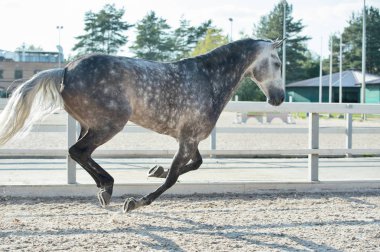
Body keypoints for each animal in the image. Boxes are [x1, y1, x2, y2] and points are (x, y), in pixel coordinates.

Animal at [0, 38, 284, 212]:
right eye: (278, 63)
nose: (279, 98)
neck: (209, 79)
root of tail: (66, 70)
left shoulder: (189, 138)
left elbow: (194, 164)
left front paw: (155, 169)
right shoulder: (189, 139)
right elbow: (173, 178)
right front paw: (136, 202)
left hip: (89, 125)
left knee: (80, 153)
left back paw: (104, 189)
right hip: (109, 125)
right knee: (78, 151)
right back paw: (107, 187)